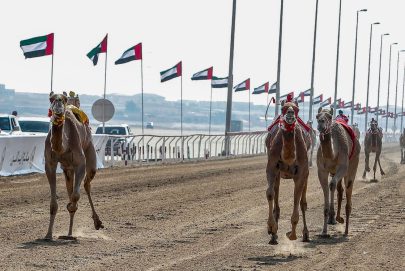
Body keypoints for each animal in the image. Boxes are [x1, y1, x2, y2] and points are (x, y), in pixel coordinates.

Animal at [43, 93, 103, 240]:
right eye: (51, 98)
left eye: (63, 99)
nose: (58, 105)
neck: (63, 146)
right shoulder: (50, 164)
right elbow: (53, 204)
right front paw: (48, 235)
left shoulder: (80, 163)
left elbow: (75, 196)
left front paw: (71, 205)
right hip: (67, 169)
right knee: (71, 188)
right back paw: (69, 233)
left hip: (89, 149)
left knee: (87, 184)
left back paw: (96, 222)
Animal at [264, 96, 310, 245]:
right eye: (283, 108)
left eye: (296, 109)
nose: (290, 114)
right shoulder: (272, 167)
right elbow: (270, 193)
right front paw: (271, 228)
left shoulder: (301, 173)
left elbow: (297, 199)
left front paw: (292, 234)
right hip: (279, 175)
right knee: (276, 198)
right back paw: (274, 236)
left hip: (306, 174)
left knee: (303, 203)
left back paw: (306, 234)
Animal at [316, 107, 360, 237]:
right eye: (317, 116)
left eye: (329, 116)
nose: (321, 123)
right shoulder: (322, 170)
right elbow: (328, 187)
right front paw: (324, 231)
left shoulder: (342, 167)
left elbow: (332, 185)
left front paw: (332, 218)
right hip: (335, 172)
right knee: (339, 190)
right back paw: (337, 218)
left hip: (353, 163)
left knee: (348, 189)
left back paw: (345, 231)